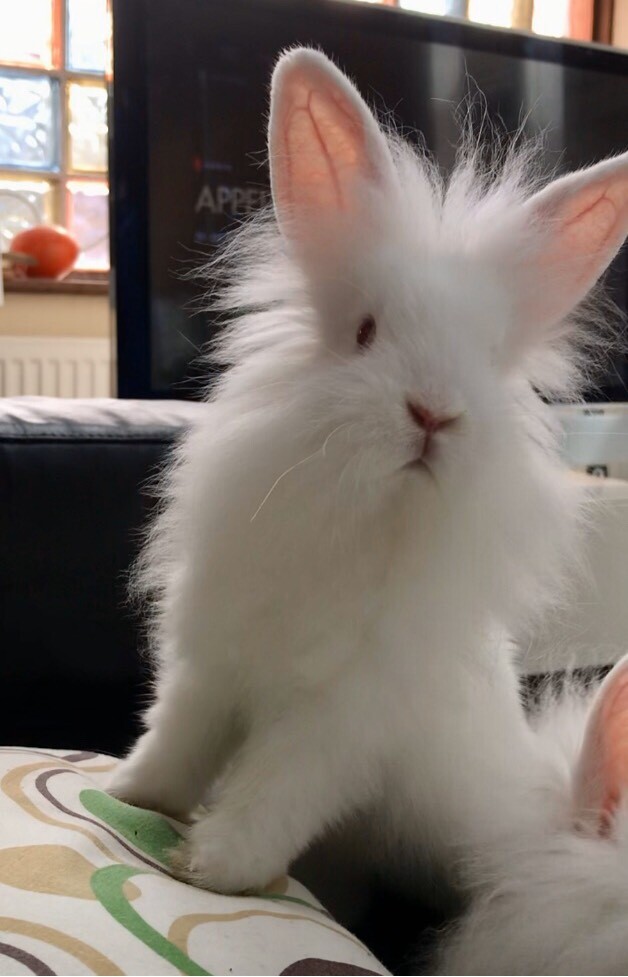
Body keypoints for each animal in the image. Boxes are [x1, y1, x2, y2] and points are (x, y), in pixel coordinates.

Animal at [107, 47, 628, 901]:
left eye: (489, 358)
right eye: (365, 331)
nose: (433, 413)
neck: (370, 518)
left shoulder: (337, 725)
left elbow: (274, 792)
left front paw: (215, 865)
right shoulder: (209, 663)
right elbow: (175, 738)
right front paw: (130, 791)